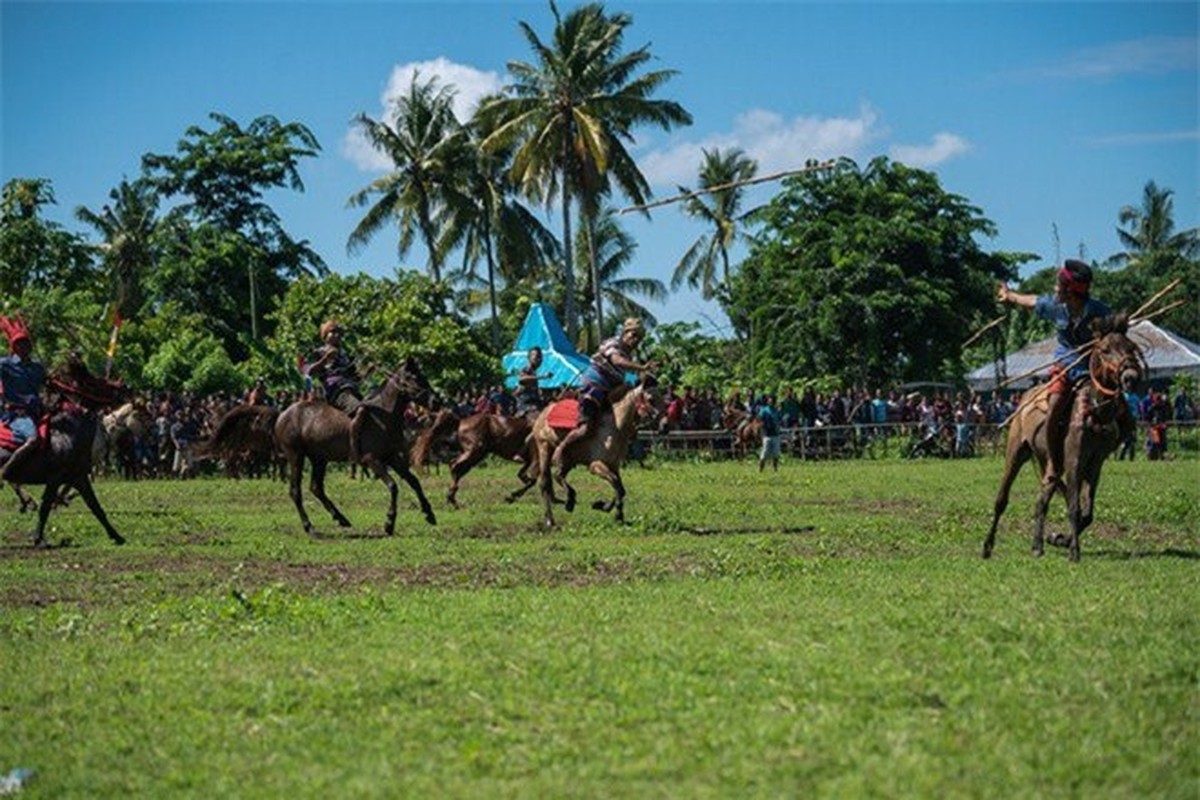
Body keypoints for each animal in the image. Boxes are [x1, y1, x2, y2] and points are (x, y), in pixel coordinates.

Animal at [0, 359, 128, 546]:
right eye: (91, 380)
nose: (124, 387)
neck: (66, 433)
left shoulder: (78, 477)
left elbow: (95, 506)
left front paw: (116, 536)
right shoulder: (55, 477)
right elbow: (45, 507)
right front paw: (38, 538)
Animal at [274, 362, 439, 537]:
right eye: (414, 377)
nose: (436, 401)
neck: (384, 415)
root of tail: (282, 415)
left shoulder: (392, 457)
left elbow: (414, 481)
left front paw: (429, 513)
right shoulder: (372, 459)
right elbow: (393, 486)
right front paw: (389, 522)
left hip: (319, 459)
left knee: (316, 488)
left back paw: (341, 518)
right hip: (296, 457)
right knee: (295, 491)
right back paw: (309, 526)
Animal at [532, 376, 667, 527]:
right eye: (650, 399)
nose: (665, 425)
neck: (616, 428)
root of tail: (544, 412)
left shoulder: (613, 466)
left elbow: (620, 488)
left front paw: (607, 509)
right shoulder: (596, 465)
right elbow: (616, 484)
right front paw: (612, 512)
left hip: (568, 460)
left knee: (558, 476)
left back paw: (567, 501)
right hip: (544, 447)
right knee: (546, 482)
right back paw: (552, 518)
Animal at [984, 311, 1142, 563]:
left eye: (1130, 347)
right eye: (1105, 349)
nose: (1131, 378)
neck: (1094, 411)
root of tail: (1024, 399)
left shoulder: (1095, 463)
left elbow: (1086, 512)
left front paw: (1060, 539)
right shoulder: (1074, 460)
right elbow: (1075, 508)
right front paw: (1074, 550)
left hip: (1049, 464)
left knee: (1042, 501)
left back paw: (1037, 545)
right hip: (1016, 452)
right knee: (1002, 499)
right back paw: (988, 546)